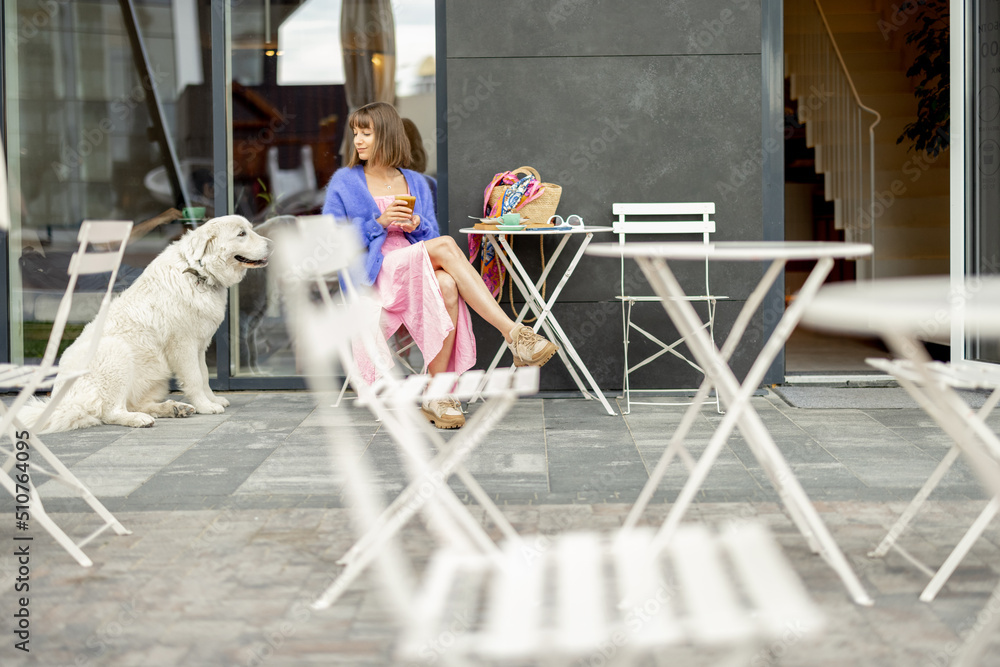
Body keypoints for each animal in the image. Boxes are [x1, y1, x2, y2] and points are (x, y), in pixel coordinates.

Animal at [23, 215, 272, 434]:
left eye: (250, 229)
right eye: (241, 234)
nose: (271, 244)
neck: (198, 272)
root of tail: (63, 403)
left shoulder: (200, 346)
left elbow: (203, 376)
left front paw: (212, 400)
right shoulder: (183, 345)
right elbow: (194, 379)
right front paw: (206, 406)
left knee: (133, 403)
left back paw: (173, 408)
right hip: (117, 353)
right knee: (110, 412)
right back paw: (141, 419)